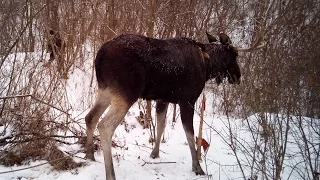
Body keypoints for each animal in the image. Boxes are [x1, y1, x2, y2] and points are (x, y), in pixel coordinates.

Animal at [86, 32, 249, 180]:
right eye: (234, 55)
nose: (238, 77)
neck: (208, 65)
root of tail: (100, 56)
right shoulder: (187, 101)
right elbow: (190, 133)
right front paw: (197, 167)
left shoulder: (162, 100)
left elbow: (161, 125)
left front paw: (155, 153)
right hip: (127, 94)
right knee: (105, 126)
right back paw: (110, 174)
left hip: (106, 89)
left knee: (90, 117)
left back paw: (89, 155)